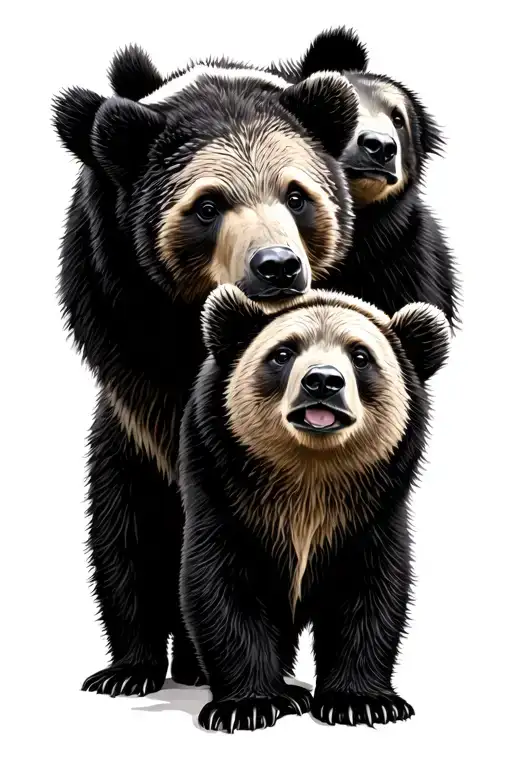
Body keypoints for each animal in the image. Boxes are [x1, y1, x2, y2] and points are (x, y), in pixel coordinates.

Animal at [52, 49, 360, 697]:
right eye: (208, 205)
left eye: (297, 195)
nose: (278, 266)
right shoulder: (129, 342)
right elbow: (142, 529)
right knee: (122, 526)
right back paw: (133, 668)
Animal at [178, 283, 450, 732]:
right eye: (283, 352)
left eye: (360, 356)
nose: (322, 381)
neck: (311, 472)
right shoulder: (222, 487)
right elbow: (222, 584)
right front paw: (248, 706)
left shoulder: (374, 510)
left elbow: (372, 590)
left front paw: (363, 702)